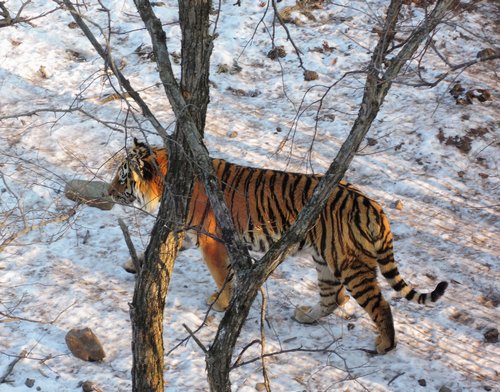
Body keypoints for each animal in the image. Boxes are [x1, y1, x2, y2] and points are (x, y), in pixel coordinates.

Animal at [109, 139, 450, 354]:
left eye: (122, 178)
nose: (109, 191)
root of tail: (374, 206)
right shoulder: (188, 232)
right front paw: (133, 264)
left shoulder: (211, 240)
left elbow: (221, 276)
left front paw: (220, 304)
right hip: (326, 261)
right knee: (334, 298)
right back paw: (307, 316)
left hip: (352, 266)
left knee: (379, 305)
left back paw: (385, 346)